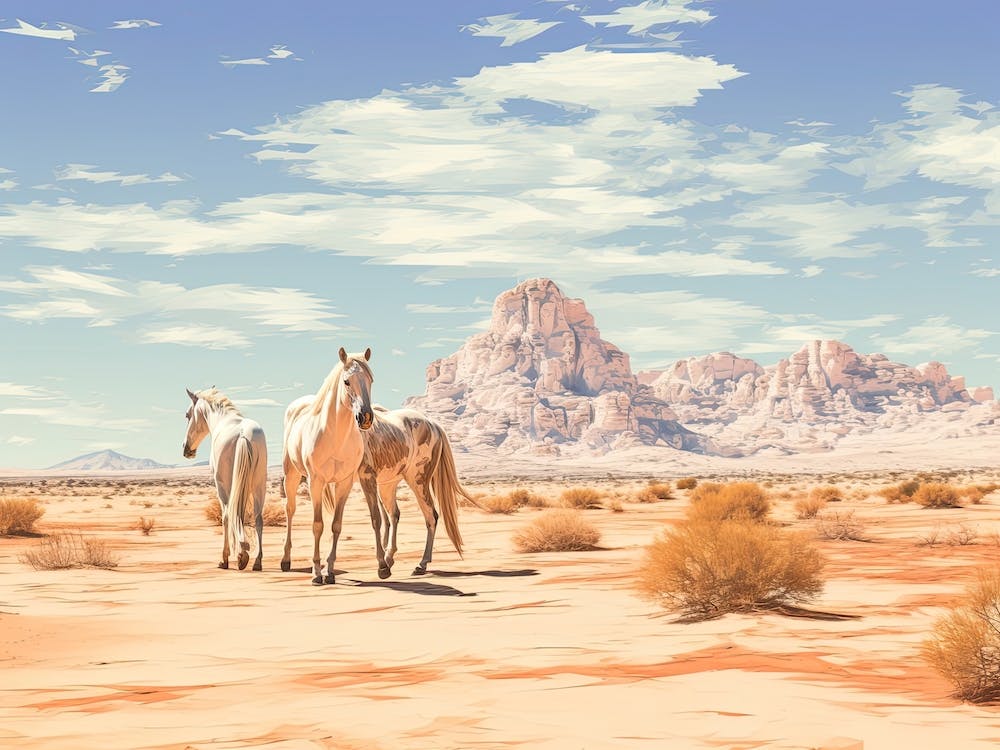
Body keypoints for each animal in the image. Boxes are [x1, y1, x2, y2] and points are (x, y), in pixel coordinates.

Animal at [182, 387, 267, 571]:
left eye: (187, 415)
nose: (186, 449)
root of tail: (243, 434)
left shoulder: (221, 486)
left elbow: (226, 516)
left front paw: (226, 559)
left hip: (226, 484)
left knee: (230, 514)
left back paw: (240, 554)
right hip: (259, 485)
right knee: (258, 518)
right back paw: (257, 561)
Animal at [280, 347, 383, 585]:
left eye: (371, 379)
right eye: (346, 381)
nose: (365, 417)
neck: (335, 436)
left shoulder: (344, 483)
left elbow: (336, 525)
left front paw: (330, 571)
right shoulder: (315, 482)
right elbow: (317, 525)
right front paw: (317, 572)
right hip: (291, 475)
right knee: (290, 510)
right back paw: (286, 560)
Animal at [358, 406, 473, 577]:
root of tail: (433, 424)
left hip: (417, 481)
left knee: (431, 516)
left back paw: (421, 564)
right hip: (388, 484)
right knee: (394, 514)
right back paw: (391, 558)